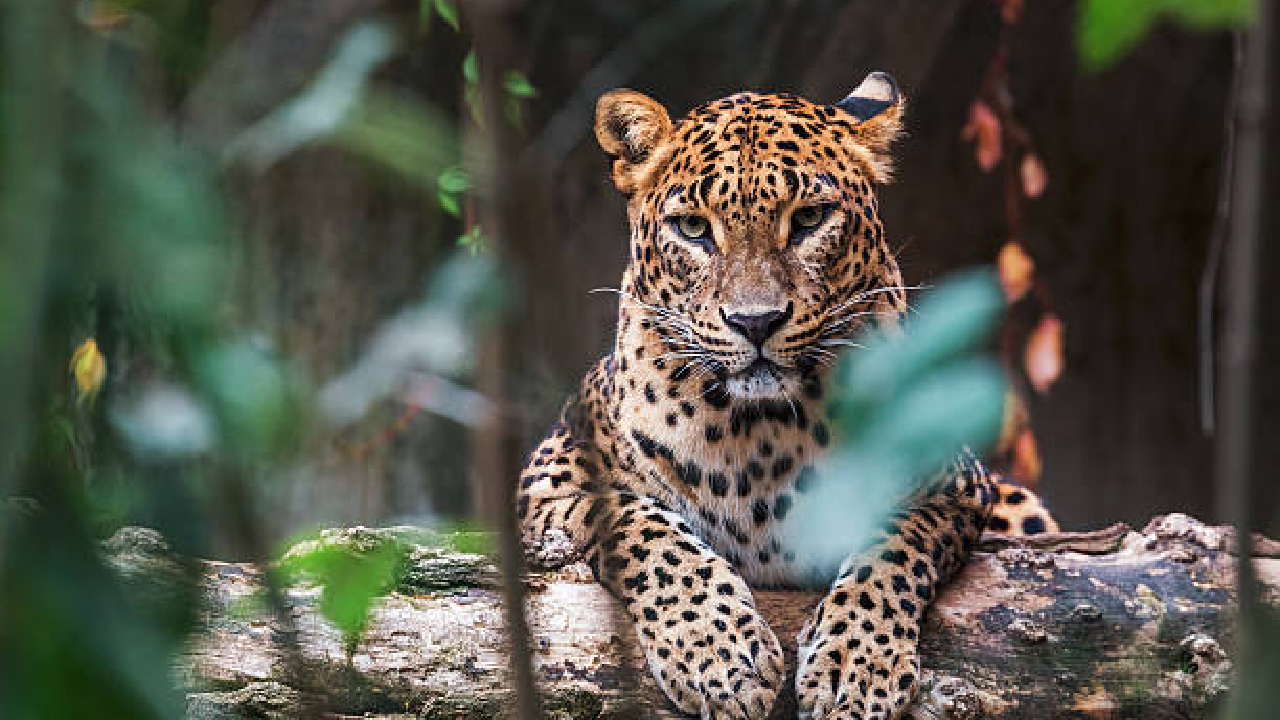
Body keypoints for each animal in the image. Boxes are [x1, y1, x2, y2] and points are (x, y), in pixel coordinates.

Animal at [517, 72, 1051, 719]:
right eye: (693, 228)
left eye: (810, 219)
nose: (756, 322)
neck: (760, 432)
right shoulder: (552, 477)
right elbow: (644, 529)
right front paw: (720, 655)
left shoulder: (951, 483)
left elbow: (893, 546)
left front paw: (856, 668)